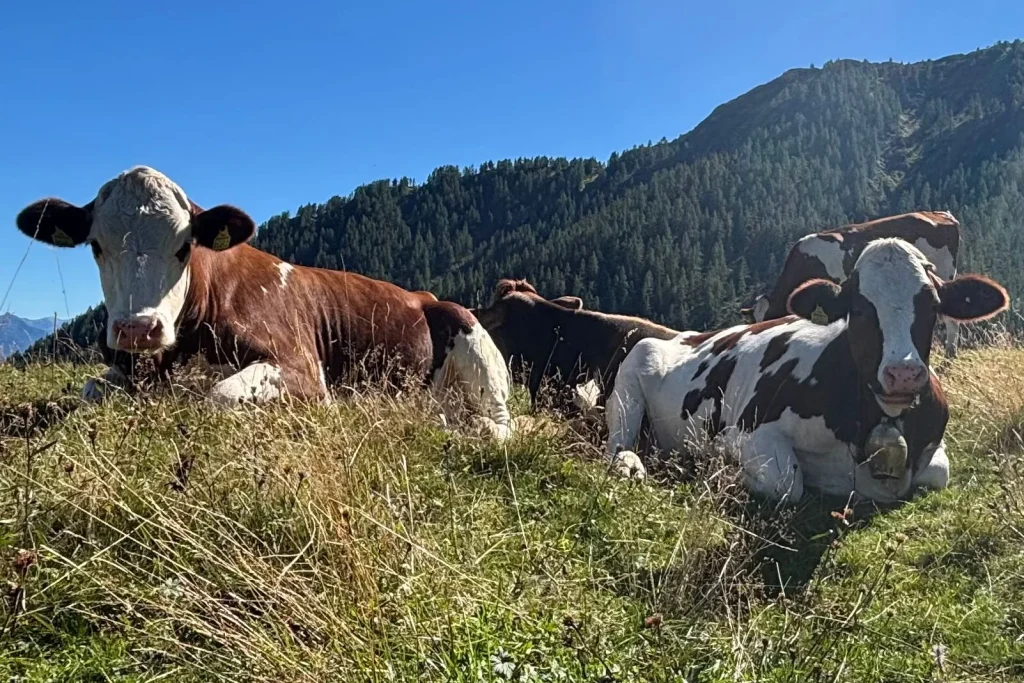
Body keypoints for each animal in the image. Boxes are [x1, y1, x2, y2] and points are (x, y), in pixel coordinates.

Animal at [15, 166, 513, 438]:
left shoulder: (305, 372)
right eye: (96, 246)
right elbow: (89, 391)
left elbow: (218, 395)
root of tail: (424, 297)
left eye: (184, 247)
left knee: (497, 424)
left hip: (480, 358)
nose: (138, 328)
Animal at [607, 238, 1009, 504]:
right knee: (619, 444)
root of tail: (686, 335)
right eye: (858, 308)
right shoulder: (748, 432)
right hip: (630, 381)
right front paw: (725, 469)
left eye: (932, 306)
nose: (903, 373)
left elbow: (938, 474)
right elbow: (787, 483)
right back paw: (630, 466)